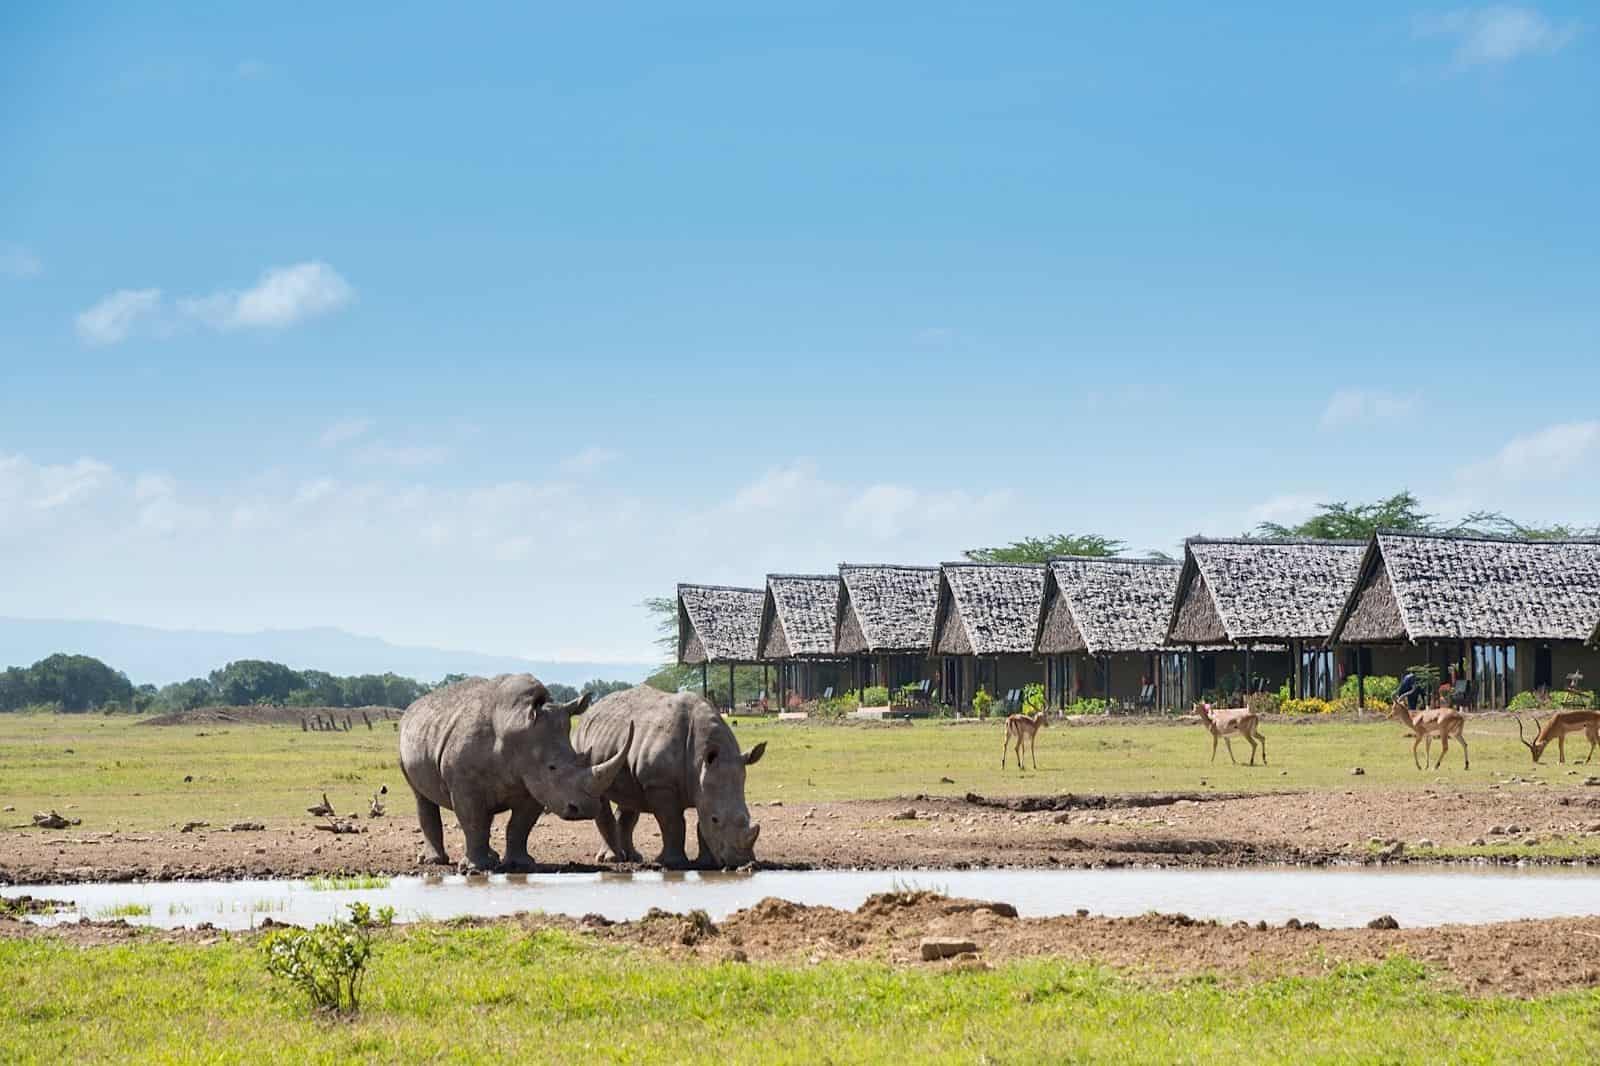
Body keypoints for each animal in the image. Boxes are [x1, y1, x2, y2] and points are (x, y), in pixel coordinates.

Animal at [396, 675, 633, 870]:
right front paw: (476, 868)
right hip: (404, 741)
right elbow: (473, 821)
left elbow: (520, 825)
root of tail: (414, 707)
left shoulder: (535, 784)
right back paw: (434, 861)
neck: (515, 730)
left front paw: (520, 864)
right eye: (552, 767)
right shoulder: (465, 785)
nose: (585, 810)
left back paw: (491, 857)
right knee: (422, 797)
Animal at [576, 685, 768, 870]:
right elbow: (673, 823)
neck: (700, 762)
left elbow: (700, 822)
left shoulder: (703, 783)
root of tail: (592, 708)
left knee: (629, 799)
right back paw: (612, 859)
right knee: (598, 790)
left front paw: (707, 863)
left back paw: (633, 858)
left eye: (748, 817)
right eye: (715, 819)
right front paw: (674, 863)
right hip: (585, 751)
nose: (741, 862)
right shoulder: (659, 783)